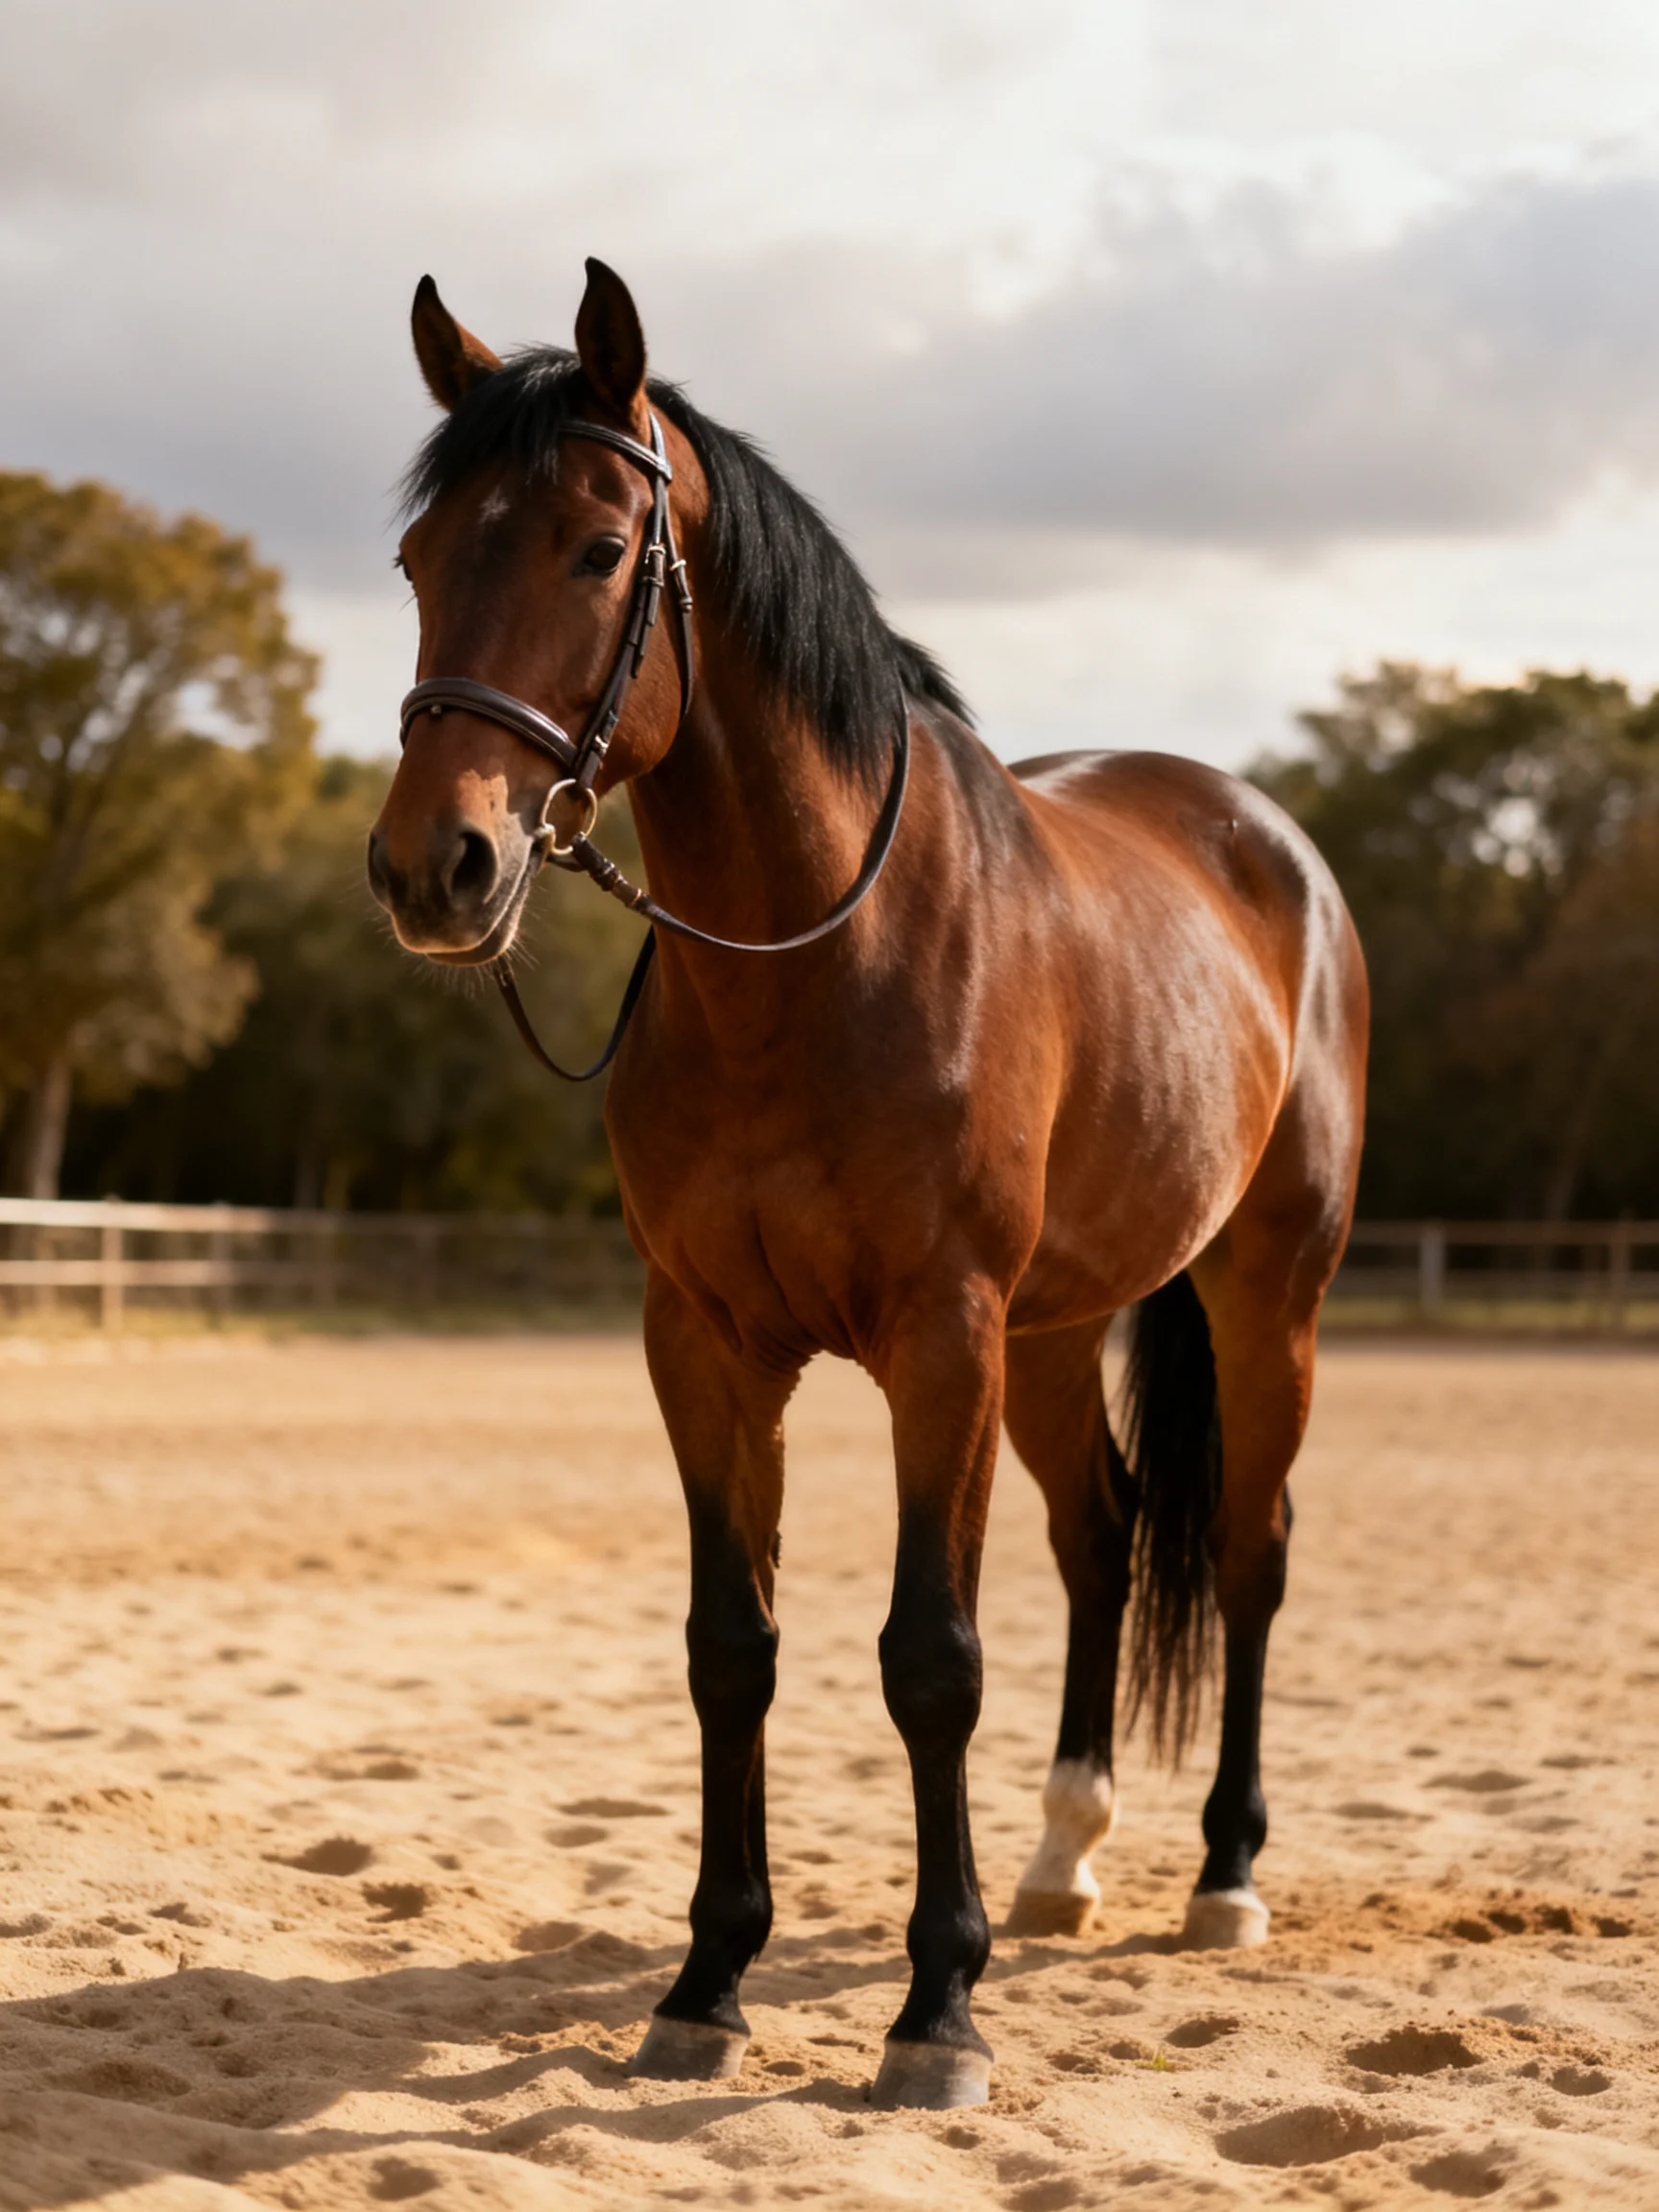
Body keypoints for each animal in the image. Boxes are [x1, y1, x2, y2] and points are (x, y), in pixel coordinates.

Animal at [367, 259, 1368, 2111]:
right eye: (417, 560)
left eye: (597, 549)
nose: (433, 867)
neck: (813, 959)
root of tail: (1271, 843)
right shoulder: (704, 1342)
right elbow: (732, 1646)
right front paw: (705, 1979)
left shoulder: (935, 1336)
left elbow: (930, 1656)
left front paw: (935, 2010)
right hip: (1055, 1332)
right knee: (1102, 1538)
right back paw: (1062, 1861)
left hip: (1263, 1295)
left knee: (1246, 1551)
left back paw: (1222, 1875)